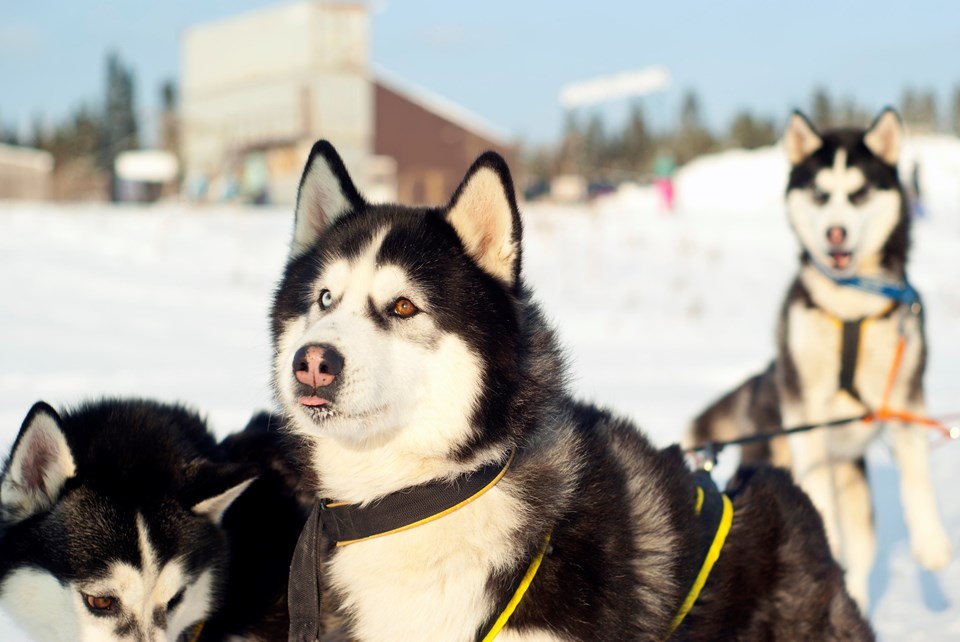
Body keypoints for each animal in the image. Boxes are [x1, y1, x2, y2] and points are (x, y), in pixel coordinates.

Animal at [688, 110, 952, 608]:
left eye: (859, 193)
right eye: (819, 194)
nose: (835, 233)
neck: (850, 309)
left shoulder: (905, 394)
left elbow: (917, 477)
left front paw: (931, 542)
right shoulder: (804, 407)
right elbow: (818, 496)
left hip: (857, 495)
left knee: (857, 563)